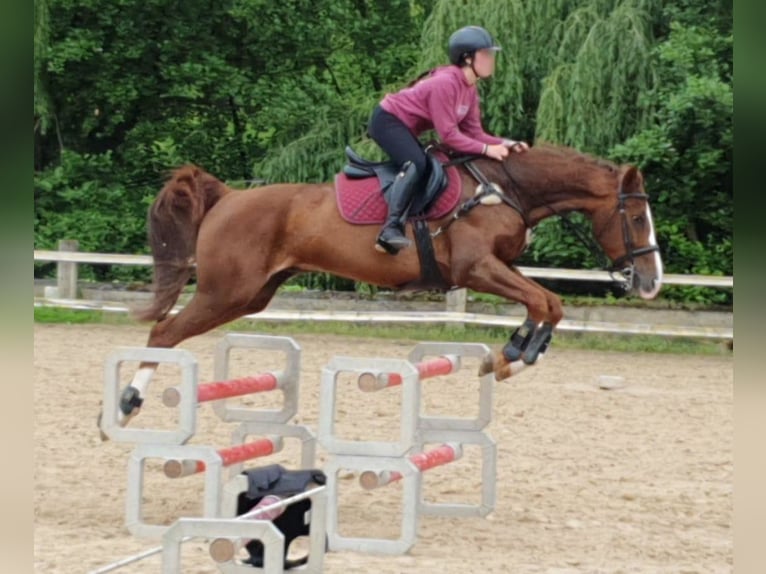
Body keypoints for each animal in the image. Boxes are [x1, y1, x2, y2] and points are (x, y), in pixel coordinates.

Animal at [105, 145, 664, 436]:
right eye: (637, 218)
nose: (651, 282)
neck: (505, 189)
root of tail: (228, 197)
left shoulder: (497, 267)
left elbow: (545, 302)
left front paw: (510, 354)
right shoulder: (476, 268)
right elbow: (546, 300)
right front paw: (513, 357)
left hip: (250, 295)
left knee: (169, 330)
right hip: (225, 292)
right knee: (164, 332)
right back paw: (125, 405)